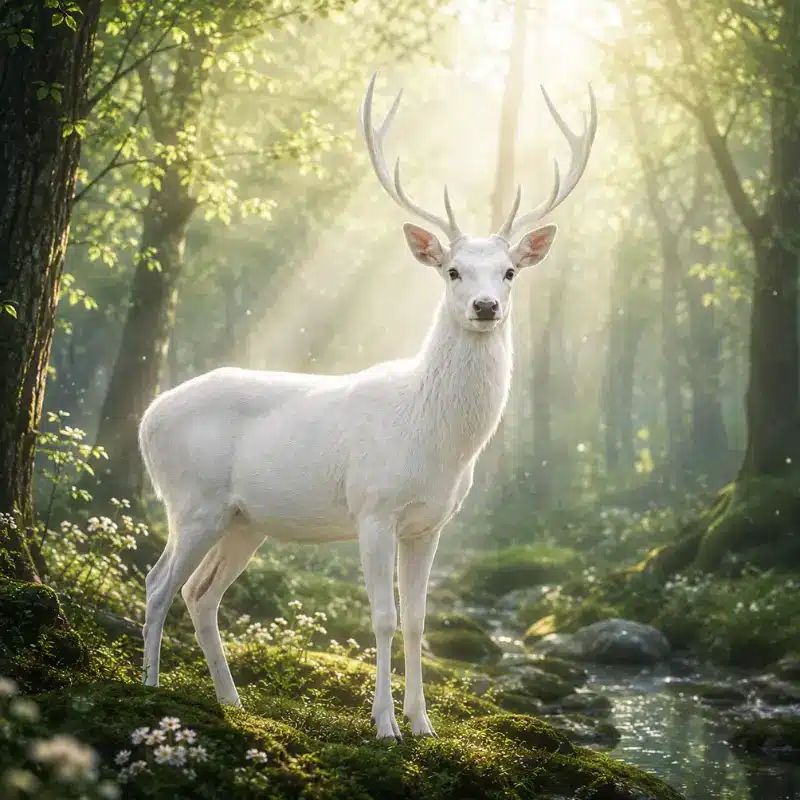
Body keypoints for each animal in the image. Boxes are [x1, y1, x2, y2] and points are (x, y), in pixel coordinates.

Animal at [138, 71, 597, 741]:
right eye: (453, 270)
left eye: (510, 271)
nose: (485, 306)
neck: (435, 439)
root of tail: (146, 418)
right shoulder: (373, 508)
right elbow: (381, 618)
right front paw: (384, 726)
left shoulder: (431, 523)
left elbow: (418, 621)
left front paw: (424, 724)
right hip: (191, 499)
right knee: (157, 583)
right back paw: (148, 687)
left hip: (244, 519)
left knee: (201, 593)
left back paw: (233, 702)